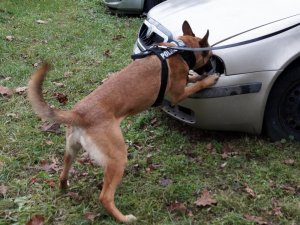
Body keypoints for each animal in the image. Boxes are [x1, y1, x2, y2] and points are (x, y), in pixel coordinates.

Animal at [28, 21, 219, 223]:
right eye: (210, 56)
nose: (213, 68)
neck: (180, 50)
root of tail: (79, 114)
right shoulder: (178, 95)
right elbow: (195, 85)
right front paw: (208, 79)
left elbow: (192, 78)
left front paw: (198, 76)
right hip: (118, 158)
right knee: (105, 197)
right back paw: (124, 218)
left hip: (71, 151)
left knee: (63, 173)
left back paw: (64, 188)